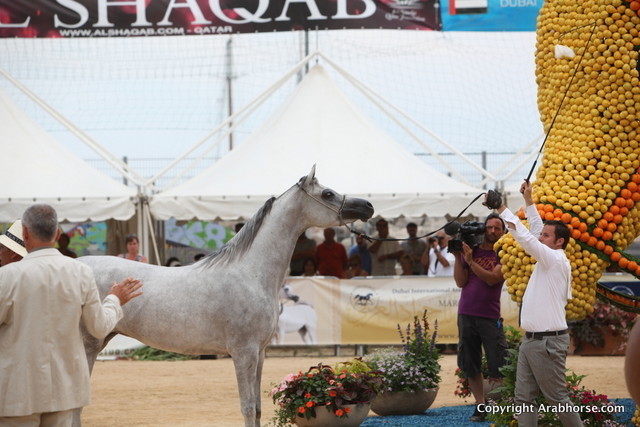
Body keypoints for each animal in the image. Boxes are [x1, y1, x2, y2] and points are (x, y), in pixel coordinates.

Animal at [74, 166, 373, 427]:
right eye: (327, 194)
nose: (367, 206)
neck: (250, 272)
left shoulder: (260, 353)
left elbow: (258, 408)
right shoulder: (244, 353)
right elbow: (247, 407)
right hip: (88, 346)